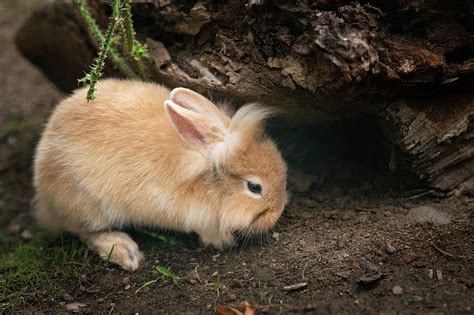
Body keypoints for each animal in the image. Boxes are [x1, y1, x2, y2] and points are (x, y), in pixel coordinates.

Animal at [33, 79, 286, 272]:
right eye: (255, 187)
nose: (278, 211)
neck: (206, 178)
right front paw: (222, 242)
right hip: (88, 206)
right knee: (85, 232)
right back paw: (125, 251)